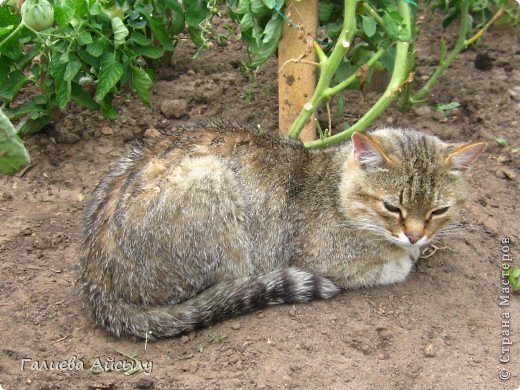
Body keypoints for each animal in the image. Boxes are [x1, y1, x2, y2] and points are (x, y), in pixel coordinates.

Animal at [77, 122, 484, 338]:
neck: (336, 186)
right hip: (211, 187)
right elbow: (391, 267)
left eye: (439, 211)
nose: (415, 235)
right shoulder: (326, 261)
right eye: (392, 207)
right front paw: (406, 257)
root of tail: (95, 284)